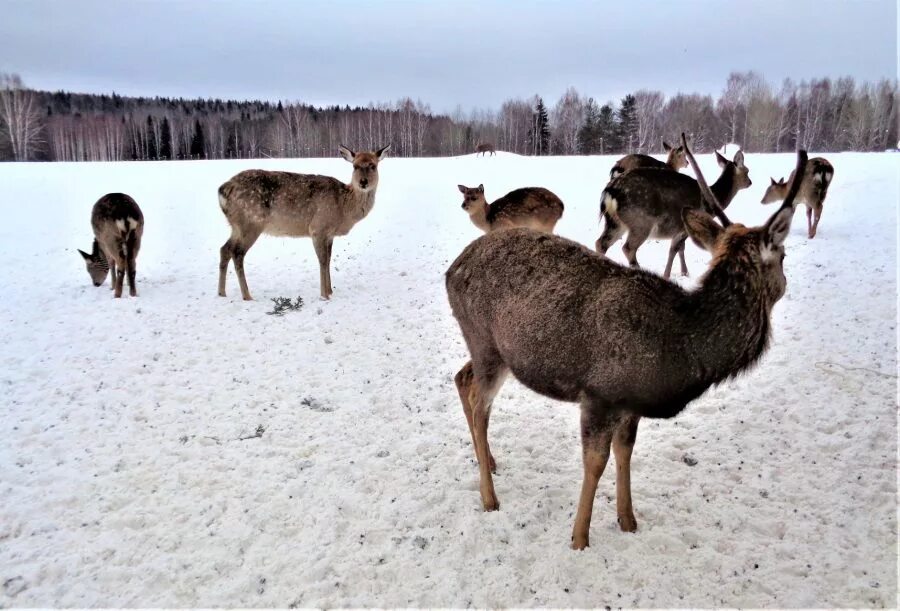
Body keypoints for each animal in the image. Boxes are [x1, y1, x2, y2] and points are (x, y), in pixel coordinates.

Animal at [218, 146, 390, 304]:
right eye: (355, 166)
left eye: (373, 166)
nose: (363, 182)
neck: (343, 207)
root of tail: (223, 189)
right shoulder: (318, 227)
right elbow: (322, 261)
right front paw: (324, 295)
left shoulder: (329, 234)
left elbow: (328, 259)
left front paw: (330, 290)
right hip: (251, 222)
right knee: (237, 252)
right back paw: (247, 296)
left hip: (236, 225)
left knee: (225, 249)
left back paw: (222, 293)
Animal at [596, 146, 752, 280]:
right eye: (747, 170)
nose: (750, 182)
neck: (710, 203)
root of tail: (610, 191)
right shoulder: (684, 227)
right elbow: (677, 248)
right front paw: (673, 274)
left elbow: (675, 249)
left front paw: (679, 273)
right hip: (640, 221)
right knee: (628, 248)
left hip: (615, 221)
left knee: (601, 243)